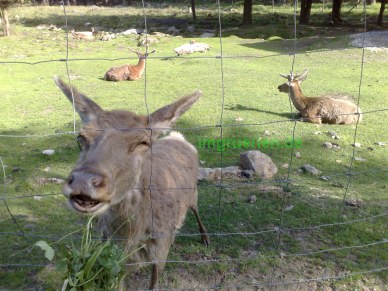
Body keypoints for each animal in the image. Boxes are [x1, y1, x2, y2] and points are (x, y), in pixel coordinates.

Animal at [53, 77, 209, 290]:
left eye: (143, 142)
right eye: (81, 136)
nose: (83, 181)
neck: (130, 238)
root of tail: (178, 136)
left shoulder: (160, 252)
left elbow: (154, 283)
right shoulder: (116, 261)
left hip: (193, 193)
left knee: (196, 210)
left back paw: (205, 238)